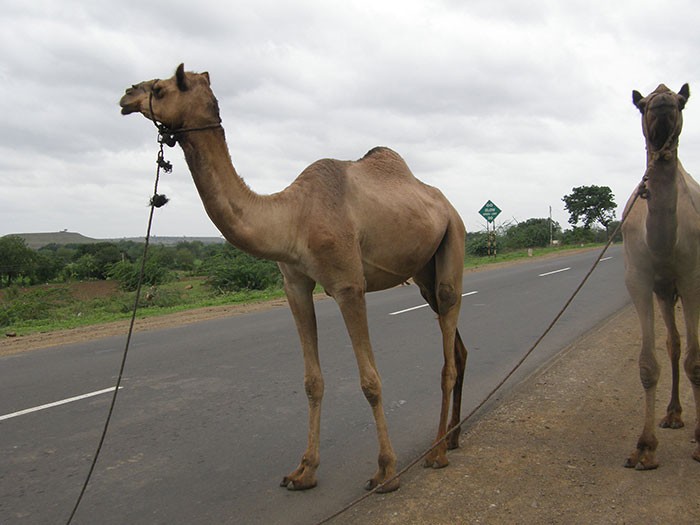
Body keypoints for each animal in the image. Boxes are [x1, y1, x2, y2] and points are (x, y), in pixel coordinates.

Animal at [119, 64, 470, 492]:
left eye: (160, 87)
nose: (127, 95)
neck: (293, 217)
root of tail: (447, 204)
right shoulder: (295, 285)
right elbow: (311, 381)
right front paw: (304, 471)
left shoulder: (349, 285)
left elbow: (370, 381)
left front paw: (386, 472)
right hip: (423, 272)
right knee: (457, 349)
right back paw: (453, 437)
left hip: (453, 238)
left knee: (448, 348)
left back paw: (436, 453)